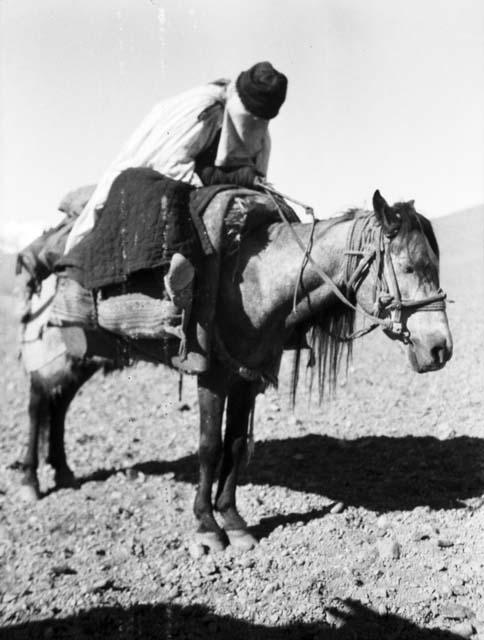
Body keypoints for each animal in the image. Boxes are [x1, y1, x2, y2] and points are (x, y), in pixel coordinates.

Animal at [18, 190, 450, 556]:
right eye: (408, 266)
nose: (440, 348)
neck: (256, 281)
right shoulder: (211, 375)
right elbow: (210, 446)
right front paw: (207, 528)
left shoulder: (247, 376)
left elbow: (237, 445)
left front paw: (234, 521)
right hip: (58, 353)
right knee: (39, 400)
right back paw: (31, 481)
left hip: (86, 356)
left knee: (60, 404)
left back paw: (63, 471)